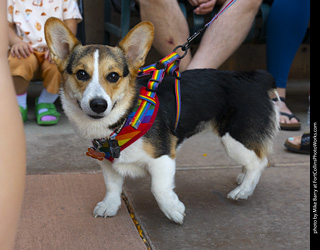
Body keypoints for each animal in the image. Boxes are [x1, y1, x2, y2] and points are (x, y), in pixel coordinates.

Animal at [45, 18, 278, 225]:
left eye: (113, 76)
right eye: (81, 74)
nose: (98, 104)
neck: (124, 120)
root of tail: (256, 77)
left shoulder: (162, 157)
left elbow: (158, 188)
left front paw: (173, 210)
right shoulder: (108, 163)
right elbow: (112, 186)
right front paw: (109, 206)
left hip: (234, 139)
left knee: (259, 162)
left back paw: (243, 190)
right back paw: (243, 178)